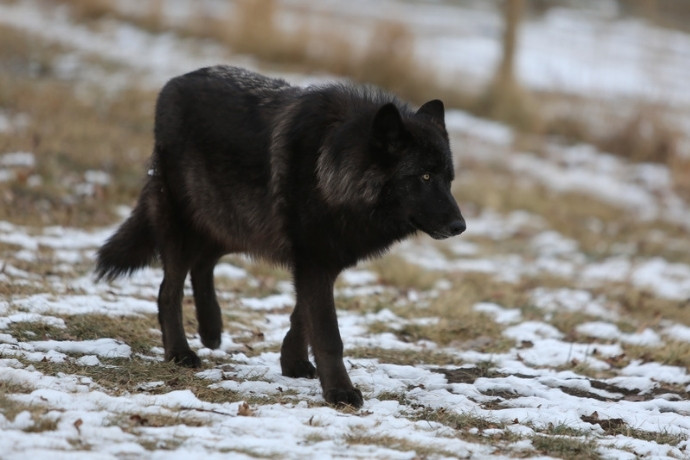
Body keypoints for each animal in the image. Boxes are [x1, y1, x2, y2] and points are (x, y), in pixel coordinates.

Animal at [96, 66, 465, 408]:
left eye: (449, 179)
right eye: (425, 176)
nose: (460, 226)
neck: (331, 169)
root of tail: (173, 82)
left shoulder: (321, 258)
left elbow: (302, 315)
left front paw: (293, 362)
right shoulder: (314, 259)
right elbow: (327, 333)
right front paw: (340, 392)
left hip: (235, 222)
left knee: (203, 264)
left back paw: (211, 330)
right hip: (188, 224)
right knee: (168, 290)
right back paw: (180, 352)